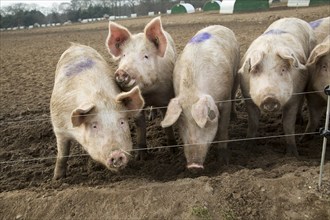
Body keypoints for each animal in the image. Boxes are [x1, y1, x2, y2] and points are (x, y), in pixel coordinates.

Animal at [50, 43, 144, 180]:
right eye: (94, 126)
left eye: (122, 122)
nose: (116, 153)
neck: (100, 98)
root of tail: (75, 45)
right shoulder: (59, 128)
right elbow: (63, 155)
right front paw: (57, 179)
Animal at [105, 16, 178, 158]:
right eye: (124, 55)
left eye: (146, 56)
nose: (121, 72)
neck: (148, 93)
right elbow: (140, 127)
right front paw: (141, 157)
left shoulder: (165, 97)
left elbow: (167, 124)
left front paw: (173, 150)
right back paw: (151, 117)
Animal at [161, 26, 238, 170]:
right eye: (181, 122)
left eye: (208, 118)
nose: (193, 166)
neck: (192, 92)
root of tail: (218, 25)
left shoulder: (225, 99)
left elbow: (223, 128)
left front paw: (224, 162)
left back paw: (235, 117)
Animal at [238, 18, 316, 157]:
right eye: (255, 70)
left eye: (283, 69)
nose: (269, 98)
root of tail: (292, 18)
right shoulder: (247, 95)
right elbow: (253, 122)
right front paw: (246, 148)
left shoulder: (293, 97)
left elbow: (288, 124)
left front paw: (293, 155)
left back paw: (299, 121)